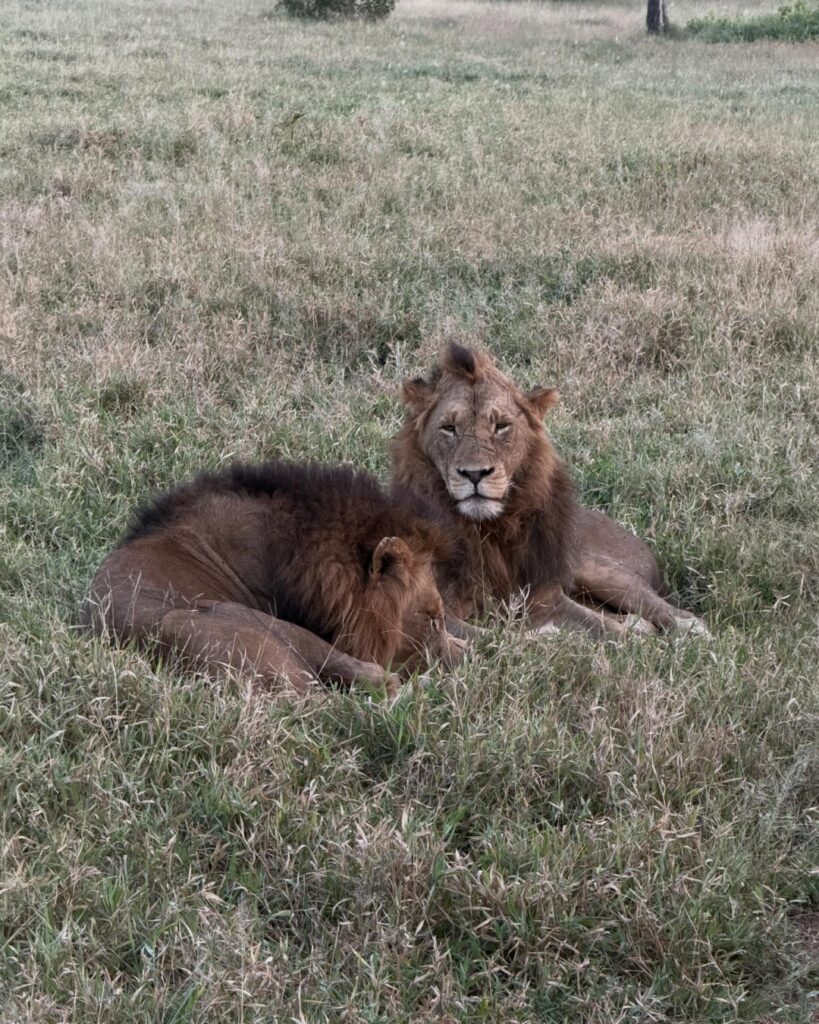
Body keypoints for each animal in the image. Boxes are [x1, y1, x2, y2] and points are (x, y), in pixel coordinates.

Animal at [390, 343, 708, 639]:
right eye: (449, 428)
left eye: (501, 426)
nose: (475, 474)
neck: (490, 531)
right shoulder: (431, 611)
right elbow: (499, 640)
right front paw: (546, 636)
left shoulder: (545, 596)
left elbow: (603, 627)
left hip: (596, 569)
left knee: (661, 608)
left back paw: (691, 630)